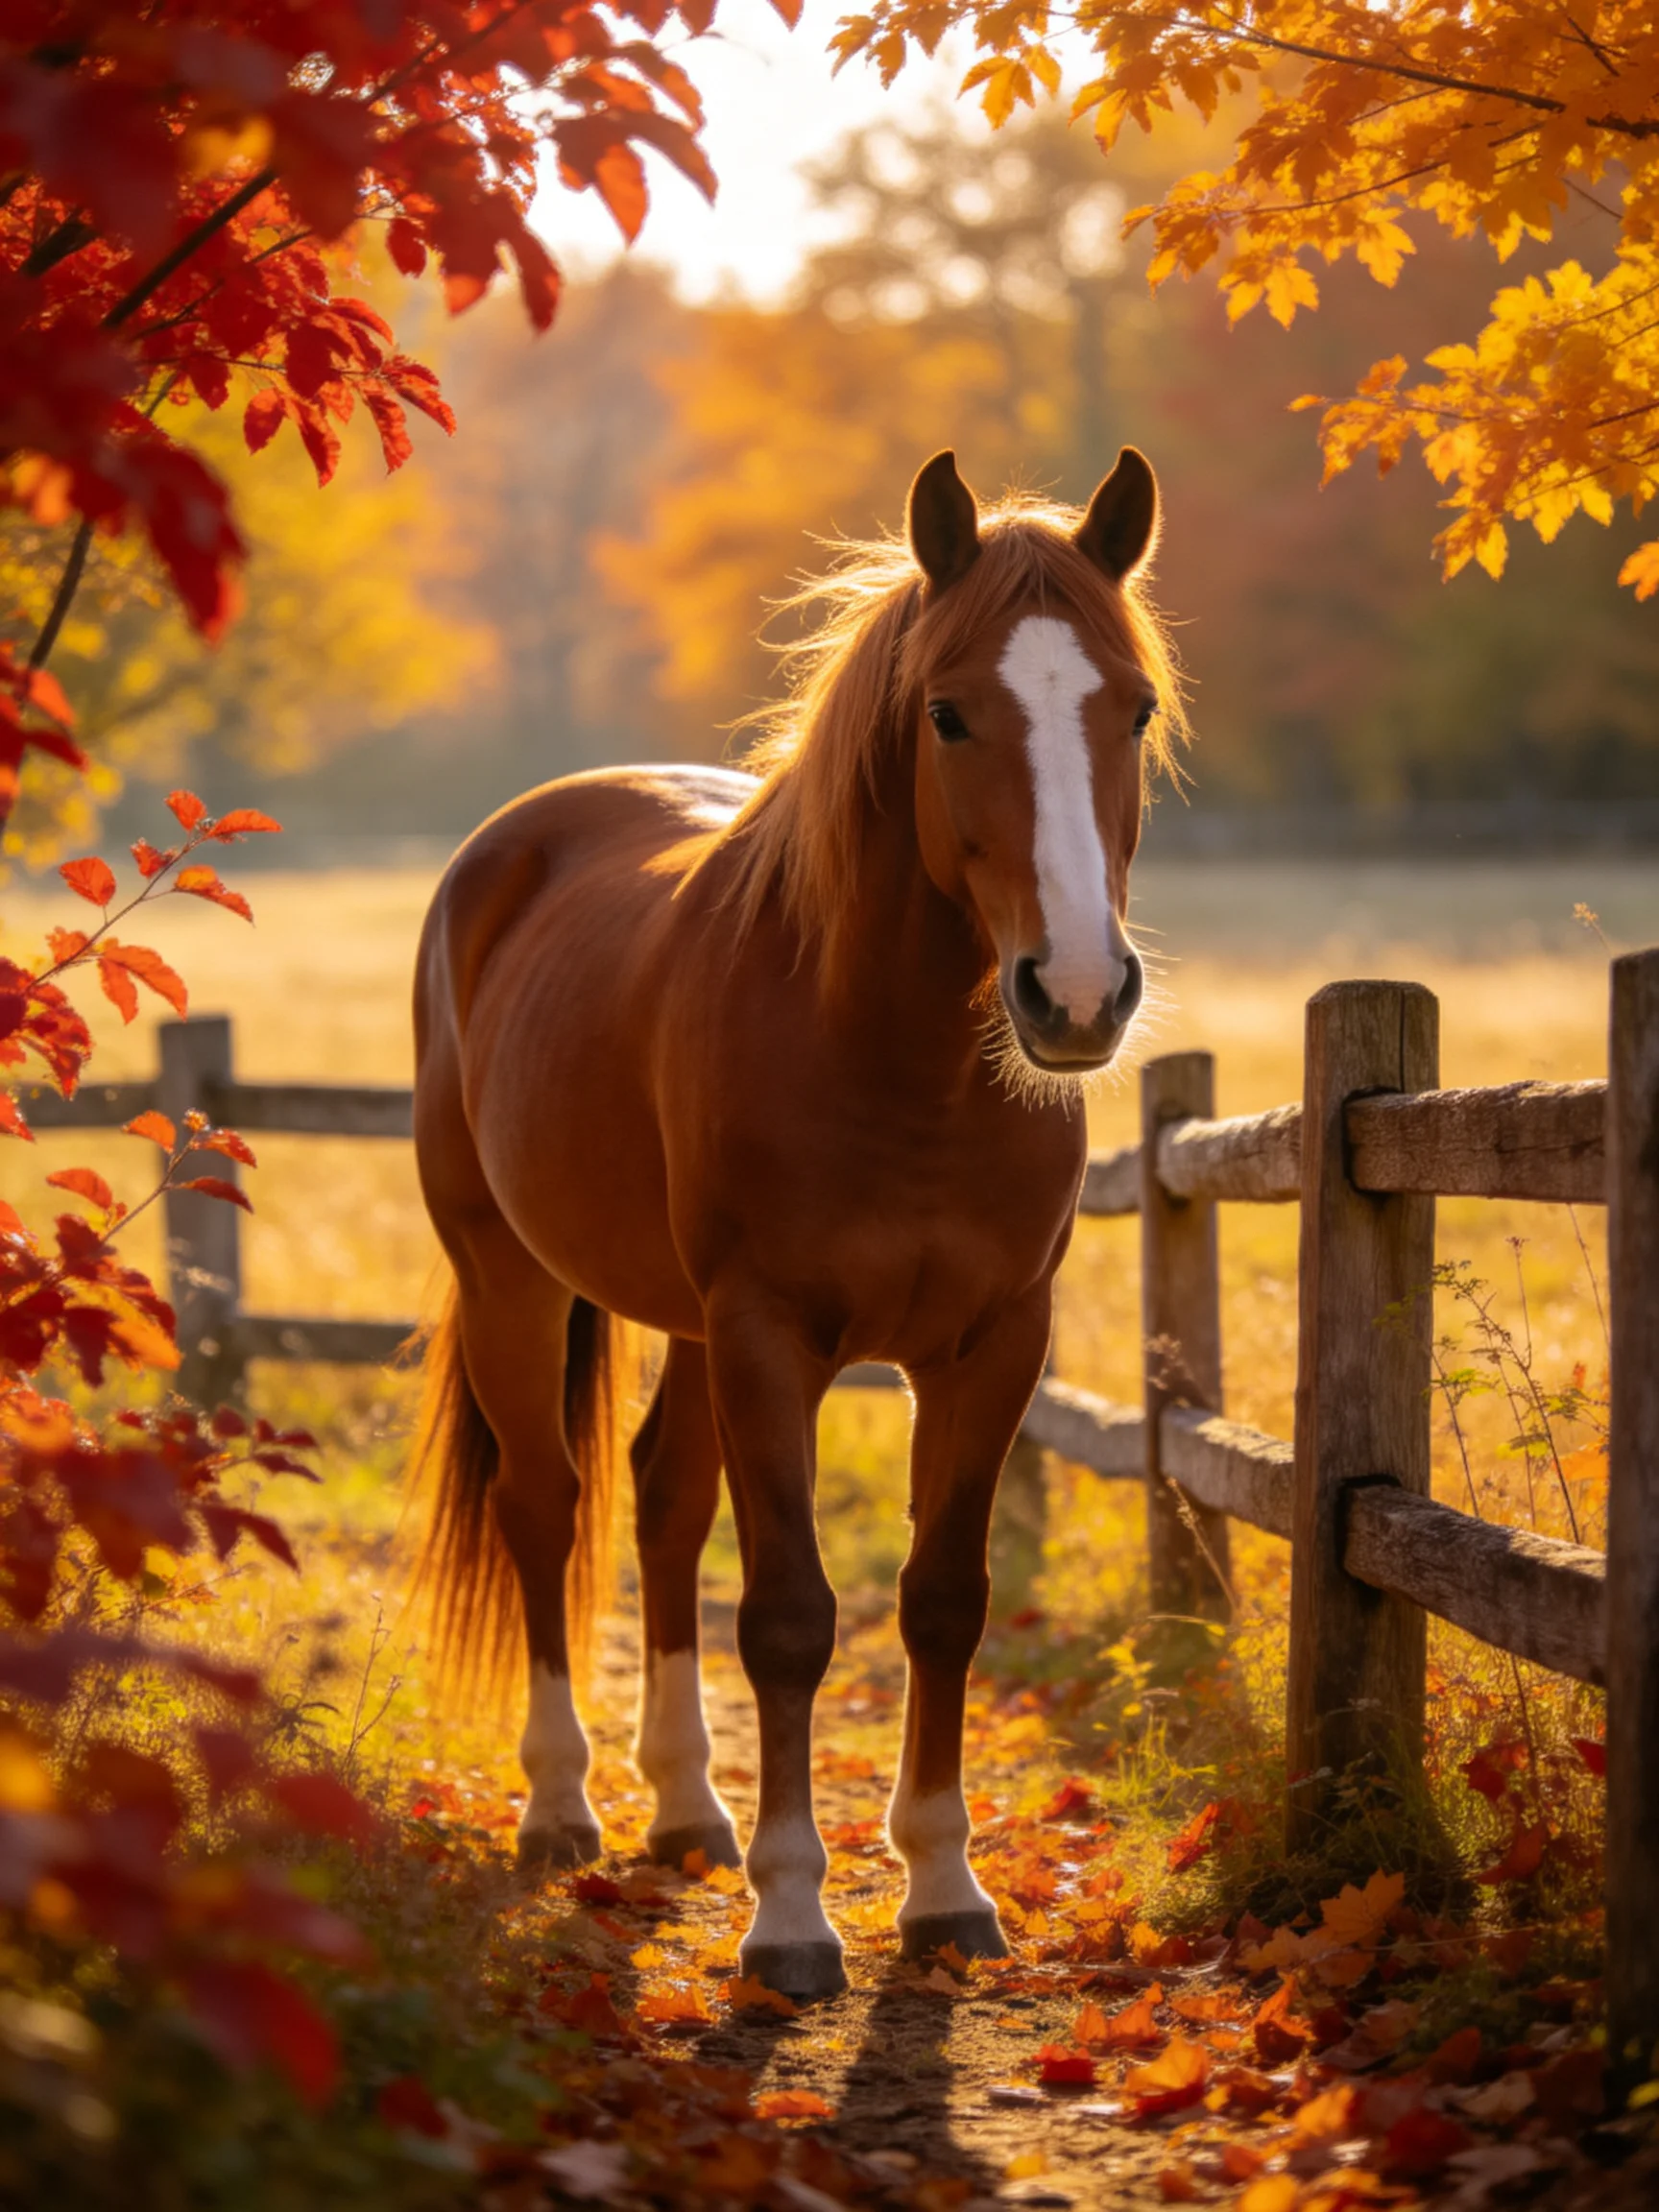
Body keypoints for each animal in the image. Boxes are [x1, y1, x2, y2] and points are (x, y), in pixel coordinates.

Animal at [410, 447, 1183, 1999]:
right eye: (949, 711)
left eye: (1131, 706)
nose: (1076, 994)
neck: (891, 1057)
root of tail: (505, 849)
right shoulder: (773, 1337)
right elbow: (787, 1616)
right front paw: (789, 1919)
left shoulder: (991, 1344)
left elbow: (942, 1597)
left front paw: (943, 1889)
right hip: (513, 1274)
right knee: (546, 1507)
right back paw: (561, 1806)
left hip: (688, 1327)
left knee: (659, 1503)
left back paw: (685, 1810)